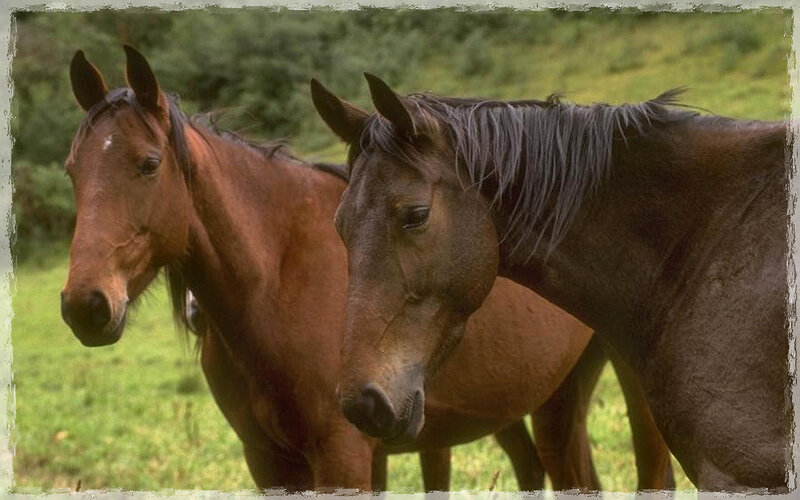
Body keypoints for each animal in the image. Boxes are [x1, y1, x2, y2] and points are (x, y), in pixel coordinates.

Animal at [60, 45, 673, 491]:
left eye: (148, 164)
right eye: (72, 170)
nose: (85, 305)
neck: (278, 280)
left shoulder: (344, 455)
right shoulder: (269, 461)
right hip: (550, 400)